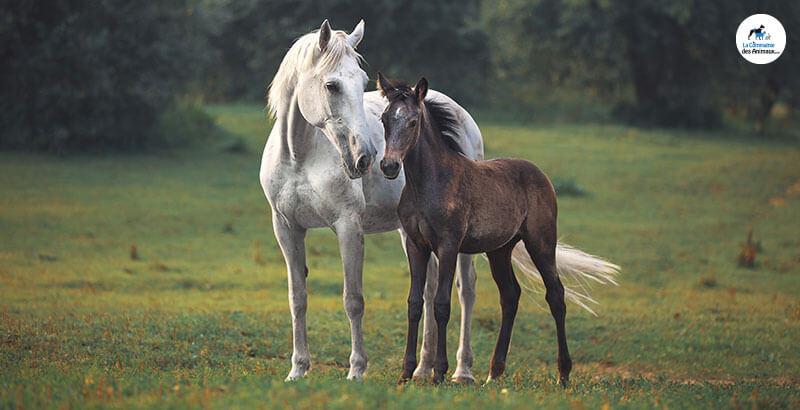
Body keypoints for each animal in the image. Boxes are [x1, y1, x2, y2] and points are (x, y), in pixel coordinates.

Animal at [260, 20, 486, 382]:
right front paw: (298, 369)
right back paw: (422, 369)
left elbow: (353, 299)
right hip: (412, 233)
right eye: (332, 85)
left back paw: (463, 371)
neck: (299, 157)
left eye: (363, 81)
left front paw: (356, 370)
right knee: (428, 289)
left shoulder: (347, 226)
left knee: (467, 290)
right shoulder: (286, 228)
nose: (365, 157)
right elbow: (298, 298)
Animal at [376, 73, 619, 386]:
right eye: (384, 119)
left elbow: (441, 304)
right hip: (499, 250)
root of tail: (541, 175)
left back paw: (563, 374)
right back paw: (495, 372)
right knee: (510, 295)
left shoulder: (448, 245)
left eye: (413, 121)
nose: (389, 165)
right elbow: (415, 303)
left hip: (541, 241)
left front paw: (439, 372)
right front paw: (406, 373)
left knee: (556, 294)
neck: (428, 183)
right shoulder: (416, 244)